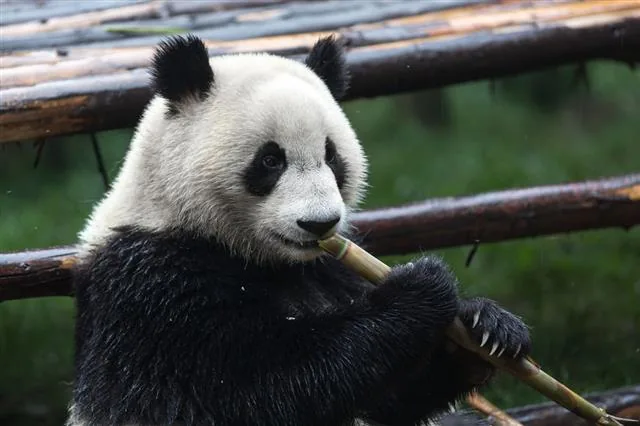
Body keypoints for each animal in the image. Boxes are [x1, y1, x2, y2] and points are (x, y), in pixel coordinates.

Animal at [69, 34, 531, 426]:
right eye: (271, 160)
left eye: (331, 155)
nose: (319, 223)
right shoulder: (154, 289)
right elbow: (256, 389)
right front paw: (420, 287)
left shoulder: (331, 268)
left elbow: (390, 401)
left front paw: (487, 327)